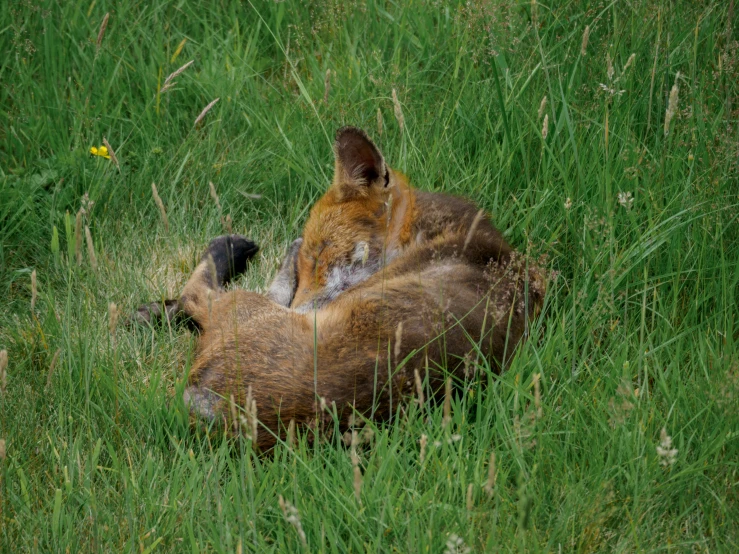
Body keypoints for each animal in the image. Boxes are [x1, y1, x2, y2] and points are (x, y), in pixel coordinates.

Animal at [136, 126, 548, 448]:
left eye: (320, 256)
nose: (302, 312)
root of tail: (223, 414)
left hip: (244, 307)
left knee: (199, 291)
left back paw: (219, 256)